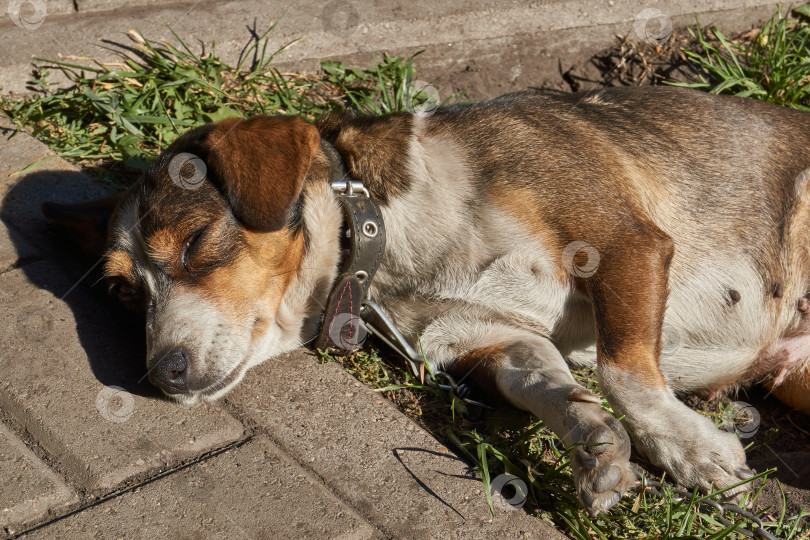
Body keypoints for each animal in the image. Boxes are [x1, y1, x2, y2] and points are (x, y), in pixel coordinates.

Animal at [42, 87, 808, 516]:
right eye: (122, 290)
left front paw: (691, 450)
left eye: (198, 241)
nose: (160, 374)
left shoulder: (624, 242)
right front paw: (597, 449)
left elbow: (624, 370)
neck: (388, 237)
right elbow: (550, 386)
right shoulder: (481, 339)